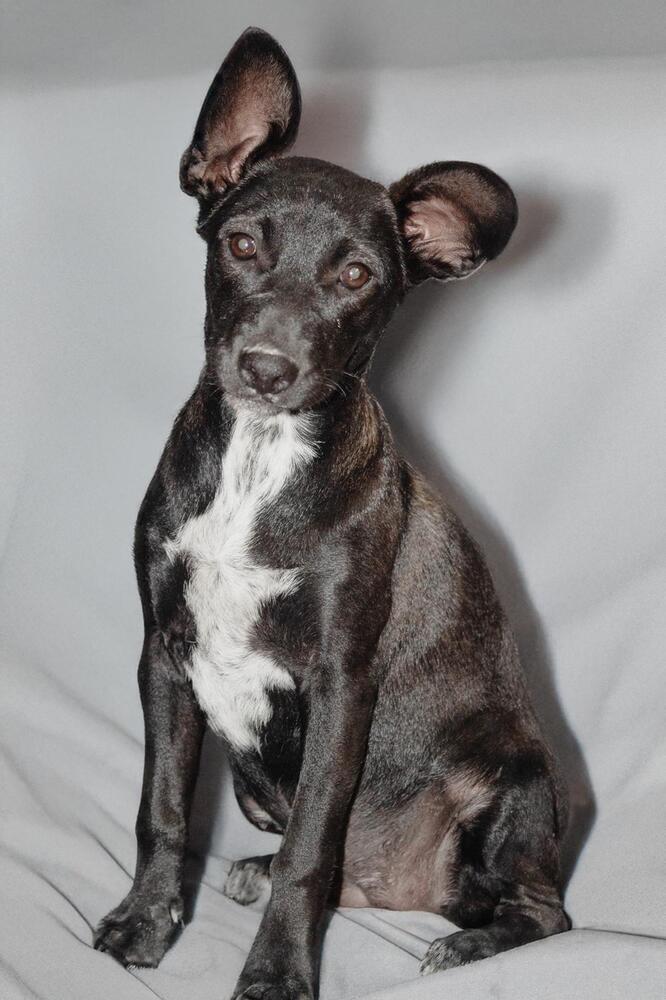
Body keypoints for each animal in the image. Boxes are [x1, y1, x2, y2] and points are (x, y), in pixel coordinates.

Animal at [93, 27, 568, 1000]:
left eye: (356, 275)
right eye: (240, 243)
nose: (267, 367)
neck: (259, 463)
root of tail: (407, 884)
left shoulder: (341, 683)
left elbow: (311, 849)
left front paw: (276, 972)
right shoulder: (163, 653)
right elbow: (162, 808)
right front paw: (147, 922)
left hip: (515, 780)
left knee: (543, 912)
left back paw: (465, 947)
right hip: (254, 787)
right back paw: (259, 872)